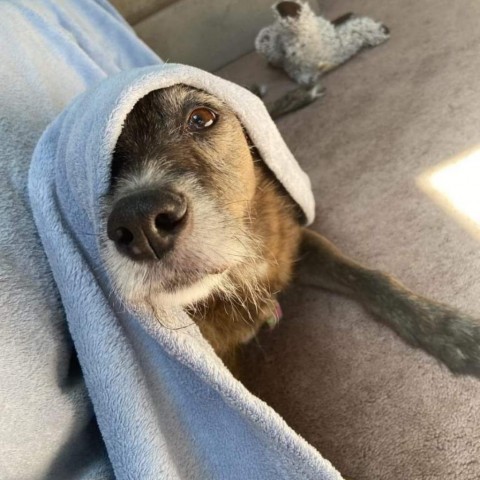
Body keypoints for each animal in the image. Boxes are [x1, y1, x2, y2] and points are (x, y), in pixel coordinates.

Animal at [104, 82, 480, 376]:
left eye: (202, 117)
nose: (141, 223)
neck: (236, 277)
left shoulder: (295, 242)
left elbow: (371, 278)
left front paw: (452, 330)